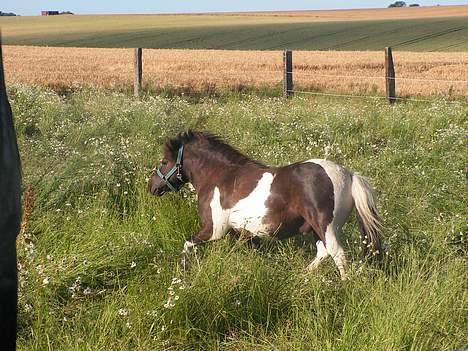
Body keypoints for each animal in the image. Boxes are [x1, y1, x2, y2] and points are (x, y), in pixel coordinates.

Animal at [148, 131, 382, 280]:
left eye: (164, 161)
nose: (152, 186)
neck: (220, 177)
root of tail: (349, 175)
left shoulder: (214, 229)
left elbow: (187, 244)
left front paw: (182, 271)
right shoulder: (245, 234)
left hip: (326, 227)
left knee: (337, 254)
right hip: (317, 229)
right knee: (323, 252)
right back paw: (301, 276)